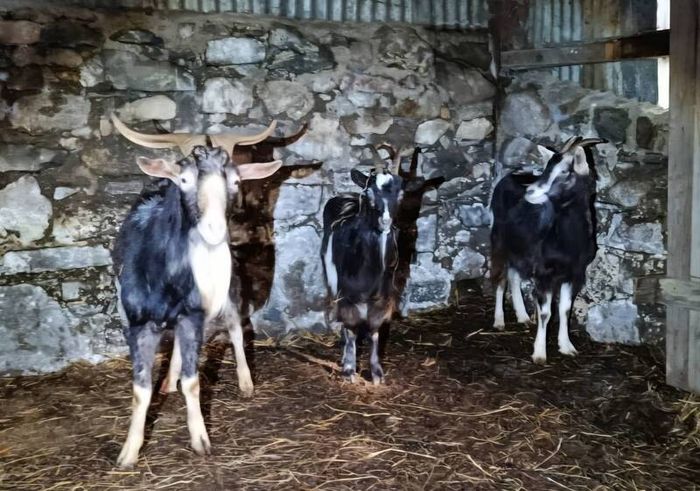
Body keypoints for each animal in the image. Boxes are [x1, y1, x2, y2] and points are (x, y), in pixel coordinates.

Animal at [111, 116, 282, 468]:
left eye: (235, 181)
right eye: (184, 179)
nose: (215, 231)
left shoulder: (194, 314)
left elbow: (193, 382)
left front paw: (201, 440)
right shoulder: (137, 322)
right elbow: (139, 389)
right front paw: (128, 454)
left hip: (228, 288)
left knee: (235, 327)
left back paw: (245, 382)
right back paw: (167, 381)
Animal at [320, 146, 429, 384]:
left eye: (401, 193)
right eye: (369, 193)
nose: (385, 221)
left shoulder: (383, 297)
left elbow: (375, 331)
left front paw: (377, 372)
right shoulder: (347, 294)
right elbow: (350, 329)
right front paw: (349, 370)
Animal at [490, 136, 605, 364]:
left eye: (565, 172)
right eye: (546, 168)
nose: (530, 192)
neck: (568, 242)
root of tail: (511, 175)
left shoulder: (574, 274)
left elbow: (565, 309)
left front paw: (567, 346)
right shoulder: (544, 273)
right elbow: (546, 313)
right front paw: (540, 353)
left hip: (520, 247)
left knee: (514, 275)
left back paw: (522, 316)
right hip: (499, 240)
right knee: (500, 279)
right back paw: (499, 321)